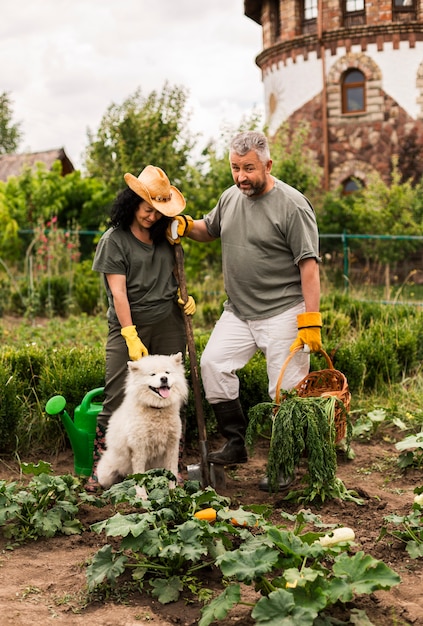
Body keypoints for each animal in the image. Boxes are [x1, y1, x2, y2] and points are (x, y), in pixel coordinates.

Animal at [97, 352, 189, 492]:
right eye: (153, 374)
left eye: (167, 372)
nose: (164, 379)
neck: (157, 409)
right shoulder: (139, 447)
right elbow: (139, 474)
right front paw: (141, 494)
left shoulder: (172, 445)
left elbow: (172, 470)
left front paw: (173, 491)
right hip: (108, 473)